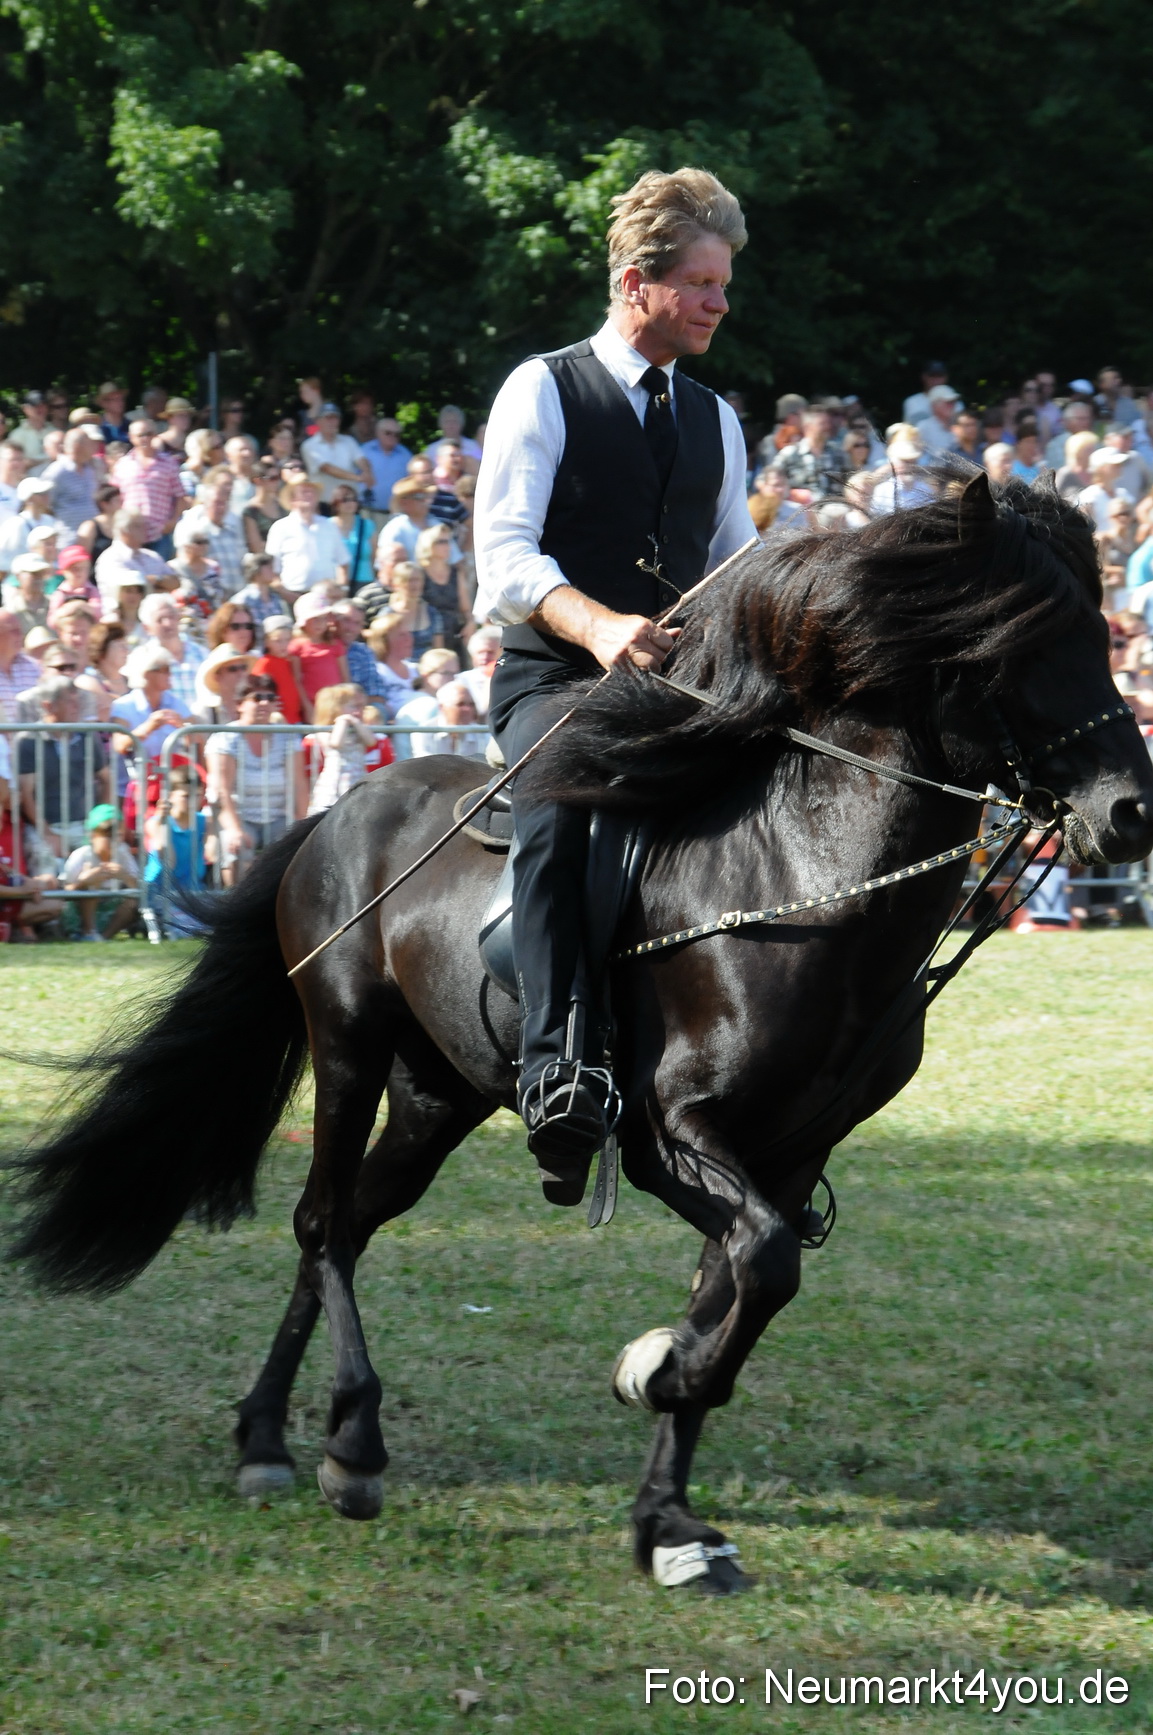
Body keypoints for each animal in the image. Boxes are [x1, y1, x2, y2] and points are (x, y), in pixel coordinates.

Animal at [11, 471, 1153, 1595]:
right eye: (1022, 643)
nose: (1130, 813)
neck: (801, 876)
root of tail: (341, 811)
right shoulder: (668, 1134)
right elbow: (763, 1265)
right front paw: (660, 1369)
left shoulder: (789, 1152)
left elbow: (742, 1278)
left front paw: (668, 1511)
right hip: (347, 1046)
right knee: (325, 1223)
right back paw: (348, 1448)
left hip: (435, 1096)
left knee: (349, 1222)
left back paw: (265, 1434)